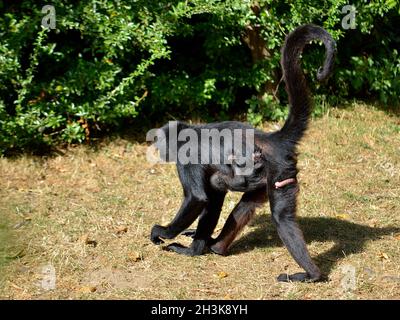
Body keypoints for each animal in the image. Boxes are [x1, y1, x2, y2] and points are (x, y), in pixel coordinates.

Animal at [149, 24, 334, 282]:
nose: (157, 149)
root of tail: (270, 138)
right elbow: (213, 198)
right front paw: (198, 243)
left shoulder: (187, 159)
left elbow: (199, 198)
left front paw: (166, 233)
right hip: (268, 177)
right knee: (243, 203)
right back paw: (216, 246)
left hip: (279, 171)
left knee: (280, 217)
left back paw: (313, 275)